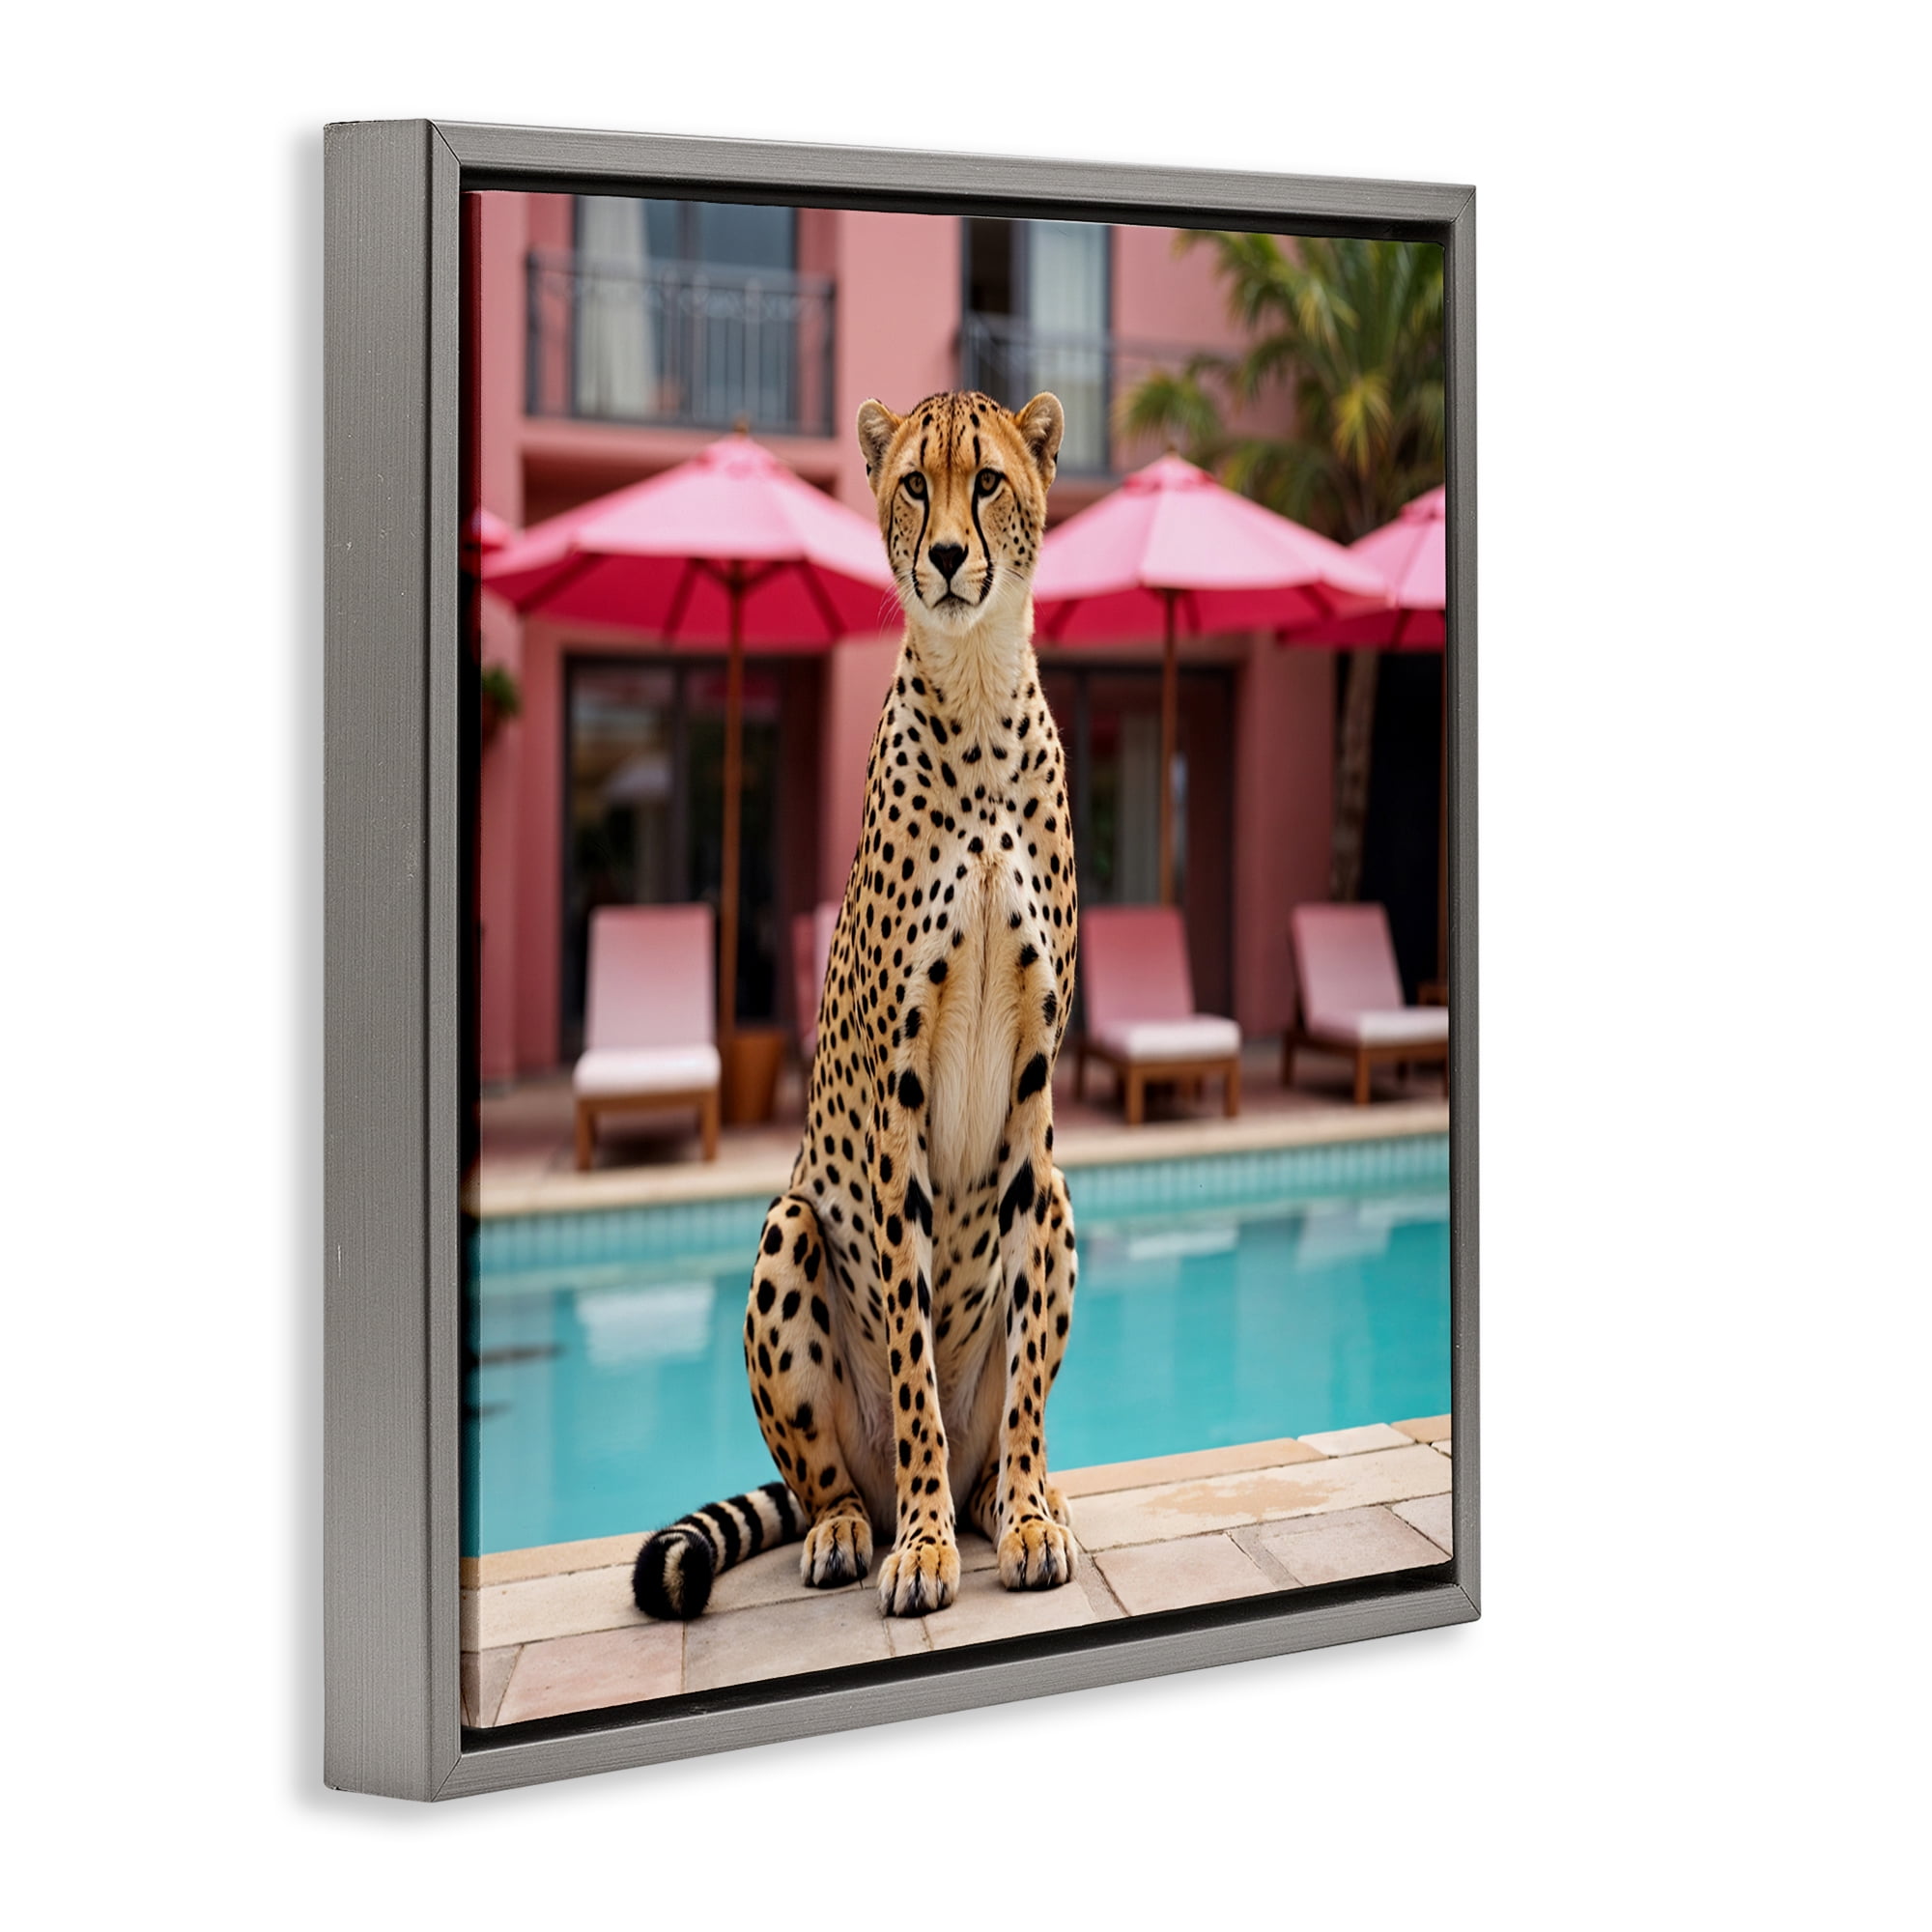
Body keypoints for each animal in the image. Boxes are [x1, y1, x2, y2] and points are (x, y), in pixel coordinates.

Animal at [633, 388, 1081, 1620]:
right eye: (913, 485)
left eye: (986, 481)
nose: (946, 557)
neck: (975, 690)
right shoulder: (897, 1094)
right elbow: (913, 1361)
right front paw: (922, 1547)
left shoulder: (1036, 1096)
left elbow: (1025, 1366)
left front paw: (1027, 1515)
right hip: (788, 1226)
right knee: (828, 1477)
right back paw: (859, 1524)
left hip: (1063, 1198)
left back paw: (1007, 1494)